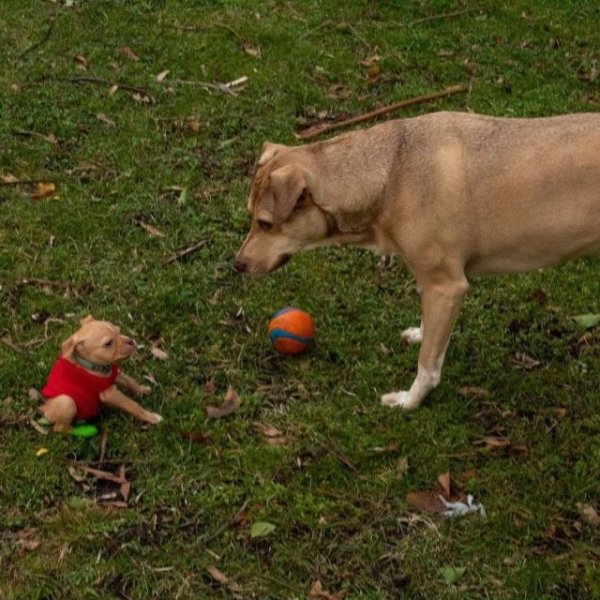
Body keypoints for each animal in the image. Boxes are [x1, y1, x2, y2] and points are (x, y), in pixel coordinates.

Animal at [236, 110, 600, 410]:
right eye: (251, 215)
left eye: (265, 224)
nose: (237, 265)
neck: (391, 175)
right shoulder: (435, 286)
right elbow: (431, 333)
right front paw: (422, 335)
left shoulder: (446, 286)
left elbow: (427, 365)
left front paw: (409, 401)